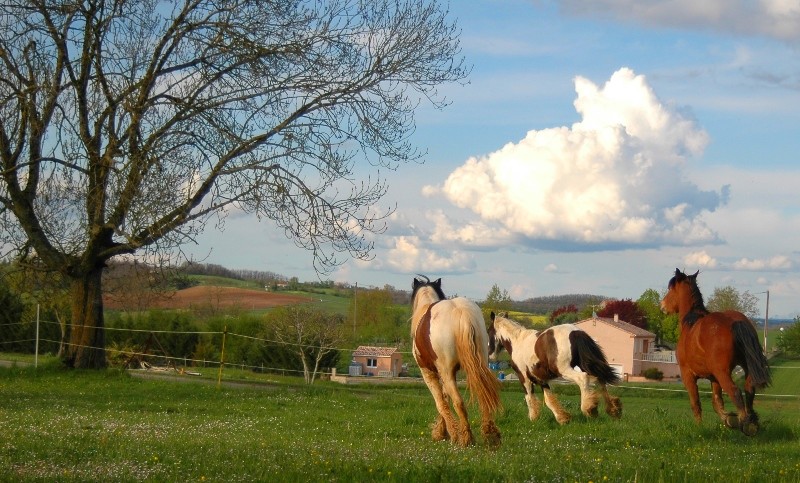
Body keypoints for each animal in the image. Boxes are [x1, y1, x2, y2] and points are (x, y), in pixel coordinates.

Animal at [412, 276, 500, 450]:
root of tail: (460, 312)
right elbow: (445, 398)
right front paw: (442, 431)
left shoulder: (429, 373)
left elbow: (441, 402)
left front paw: (446, 433)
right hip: (479, 366)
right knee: (484, 396)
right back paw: (490, 436)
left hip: (446, 373)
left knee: (458, 402)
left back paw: (465, 439)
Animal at [488, 312, 620, 426]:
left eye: (489, 331)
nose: (490, 355)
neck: (517, 341)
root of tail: (576, 333)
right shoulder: (541, 379)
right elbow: (549, 400)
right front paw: (562, 418)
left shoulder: (524, 378)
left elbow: (529, 398)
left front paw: (533, 418)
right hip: (586, 364)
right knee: (600, 379)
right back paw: (613, 410)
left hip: (564, 370)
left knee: (583, 378)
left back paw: (589, 409)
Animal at [664, 268, 768, 434]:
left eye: (670, 289)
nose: (662, 305)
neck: (690, 323)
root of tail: (735, 321)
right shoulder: (714, 378)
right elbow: (717, 402)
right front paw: (728, 419)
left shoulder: (688, 375)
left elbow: (696, 403)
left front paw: (700, 427)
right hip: (743, 368)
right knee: (749, 390)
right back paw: (752, 421)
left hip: (723, 373)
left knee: (735, 391)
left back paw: (744, 422)